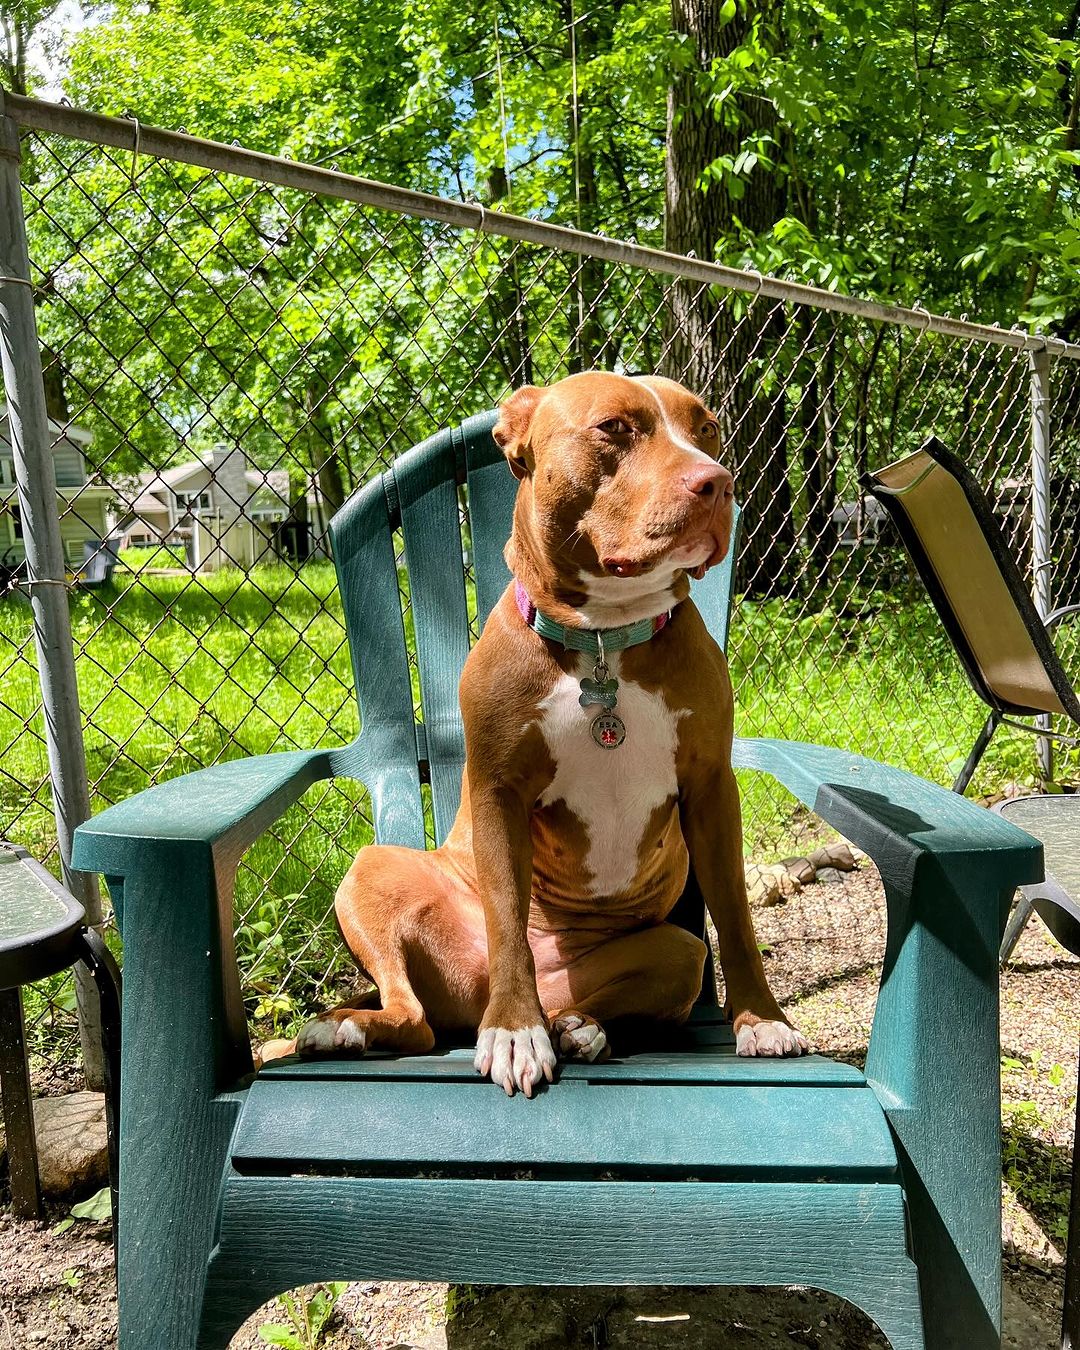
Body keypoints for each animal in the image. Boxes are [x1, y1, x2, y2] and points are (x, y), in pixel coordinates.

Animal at [291, 372, 804, 1096]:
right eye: (614, 428)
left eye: (705, 428)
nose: (719, 482)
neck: (604, 638)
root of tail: (467, 1001)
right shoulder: (500, 792)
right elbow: (508, 917)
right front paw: (515, 1032)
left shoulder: (710, 787)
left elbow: (734, 914)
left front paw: (762, 1019)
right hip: (375, 871)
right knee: (414, 1015)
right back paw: (353, 1027)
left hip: (677, 953)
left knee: (599, 993)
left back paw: (580, 1029)